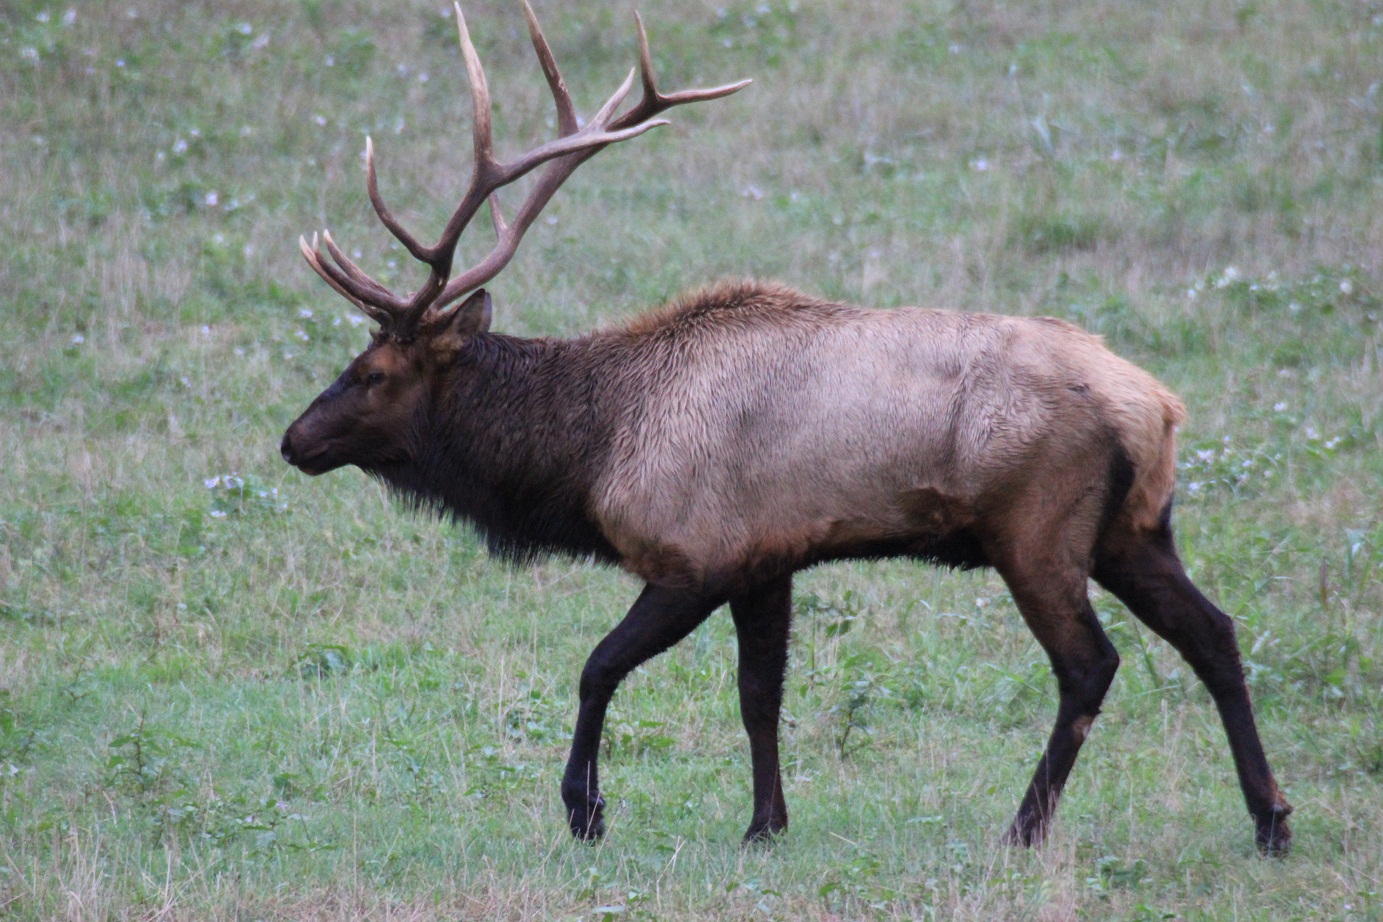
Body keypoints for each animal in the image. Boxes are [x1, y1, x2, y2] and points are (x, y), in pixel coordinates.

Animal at [279, 2, 1292, 854]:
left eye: (371, 373)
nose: (293, 439)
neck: (590, 453)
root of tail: (1156, 405)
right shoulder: (765, 560)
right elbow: (759, 696)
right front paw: (766, 822)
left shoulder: (689, 557)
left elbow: (597, 668)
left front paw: (585, 811)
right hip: (1135, 528)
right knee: (1214, 634)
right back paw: (1270, 820)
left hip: (1036, 529)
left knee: (1090, 664)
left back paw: (1023, 829)